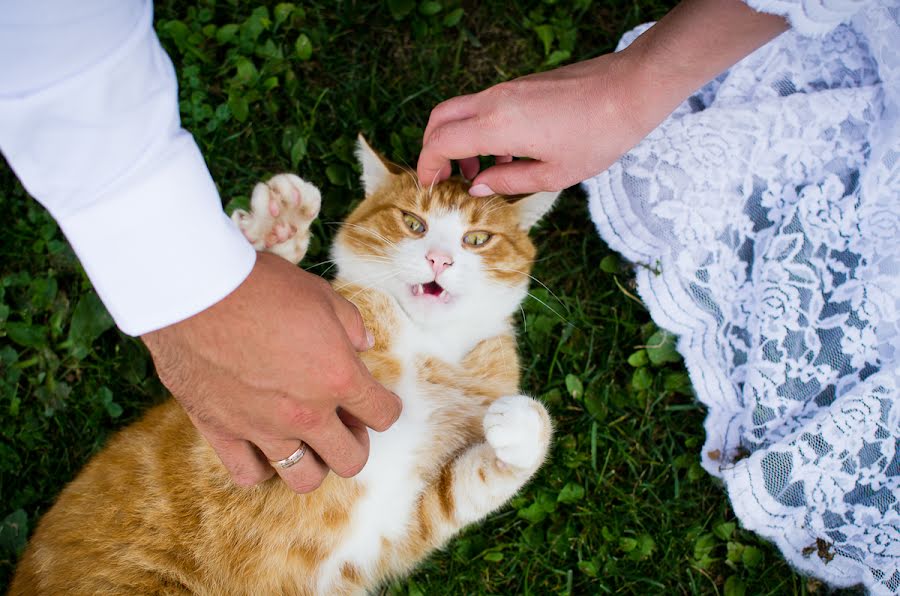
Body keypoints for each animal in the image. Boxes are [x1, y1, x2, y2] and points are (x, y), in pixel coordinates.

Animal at [10, 139, 560, 596]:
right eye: (413, 223)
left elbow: (477, 484)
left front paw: (521, 426)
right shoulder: (231, 425)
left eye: (478, 239)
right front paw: (278, 231)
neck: (428, 343)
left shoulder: (412, 518)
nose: (439, 260)